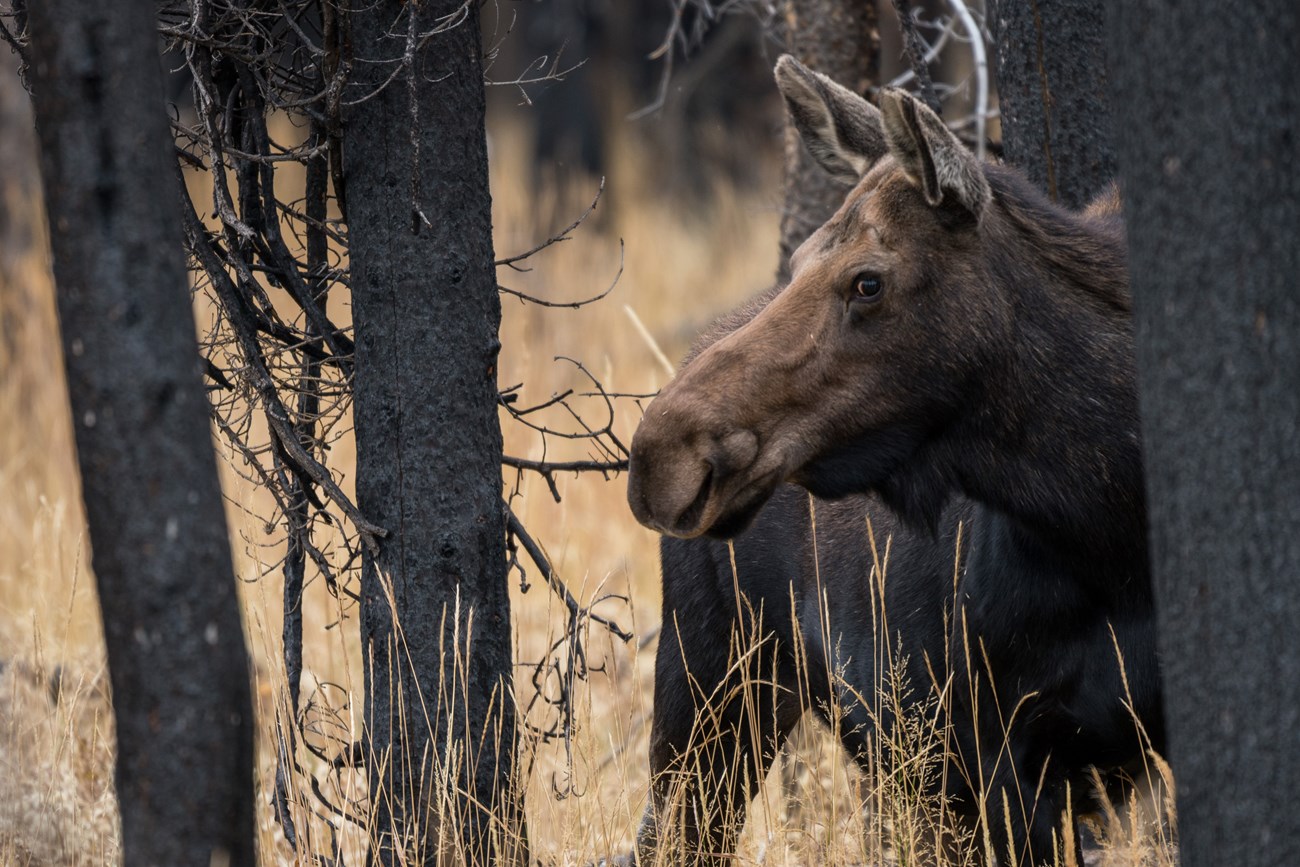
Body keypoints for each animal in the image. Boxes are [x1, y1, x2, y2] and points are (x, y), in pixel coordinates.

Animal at [624, 57, 1164, 863]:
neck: (1111, 528)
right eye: (803, 260)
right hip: (710, 687)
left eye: (868, 280)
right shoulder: (1001, 758)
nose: (660, 454)